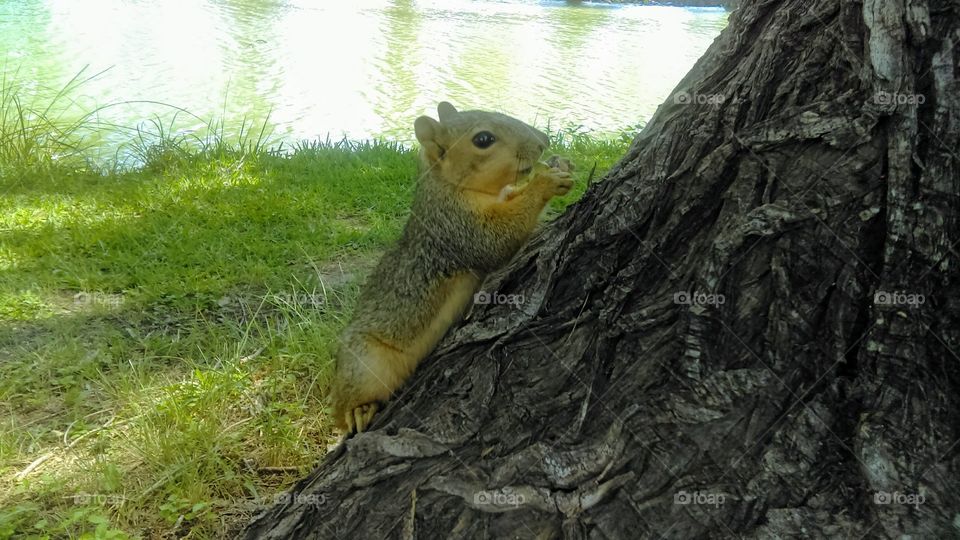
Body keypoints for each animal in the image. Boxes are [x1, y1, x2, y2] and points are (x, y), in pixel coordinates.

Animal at [329, 102, 573, 434]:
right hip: (365, 362)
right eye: (483, 140)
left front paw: (561, 166)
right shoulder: (455, 224)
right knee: (346, 404)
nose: (543, 141)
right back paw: (357, 411)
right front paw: (545, 181)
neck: (448, 185)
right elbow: (497, 239)